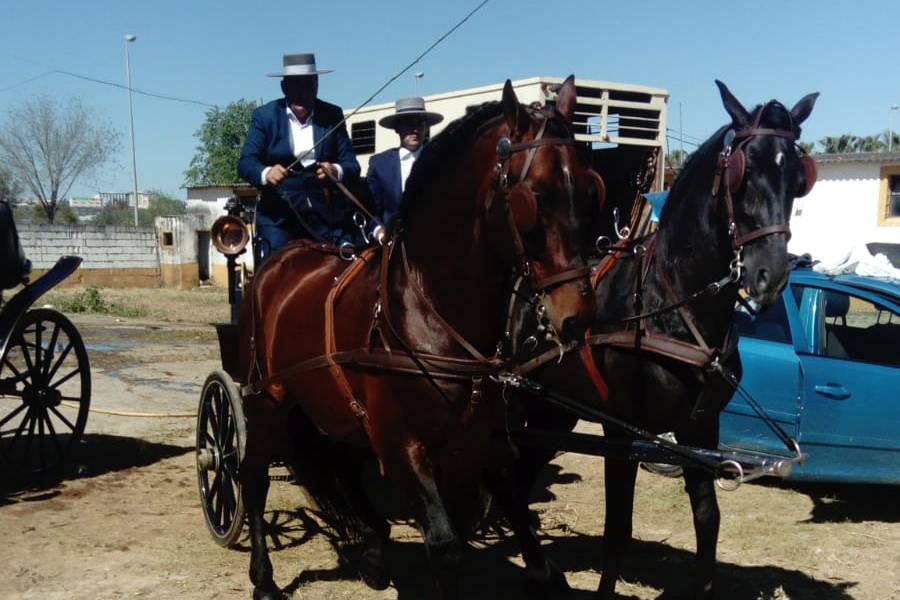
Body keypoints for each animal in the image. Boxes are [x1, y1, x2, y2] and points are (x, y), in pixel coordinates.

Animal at [236, 76, 600, 600]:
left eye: (592, 191)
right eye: (531, 197)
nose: (576, 317)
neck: (430, 312)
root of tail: (278, 261)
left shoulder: (484, 438)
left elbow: (515, 510)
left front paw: (547, 575)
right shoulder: (404, 447)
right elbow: (444, 545)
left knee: (345, 470)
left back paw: (372, 554)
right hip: (265, 399)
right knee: (254, 478)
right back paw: (264, 578)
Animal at [506, 81, 816, 600]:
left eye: (797, 177)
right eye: (744, 171)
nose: (769, 275)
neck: (667, 307)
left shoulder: (699, 429)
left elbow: (708, 519)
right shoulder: (622, 432)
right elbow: (618, 528)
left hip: (550, 410)